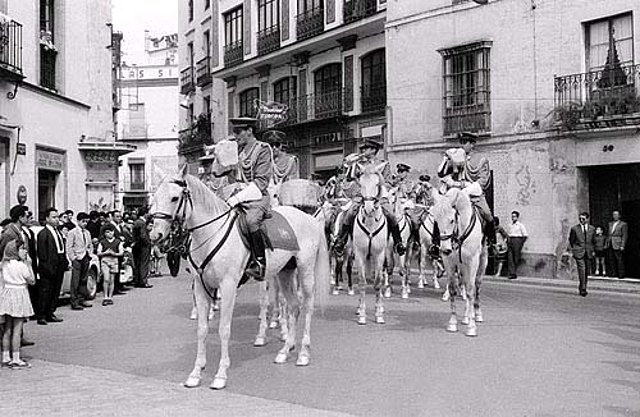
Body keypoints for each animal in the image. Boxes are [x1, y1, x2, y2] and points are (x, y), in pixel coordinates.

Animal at [149, 167, 330, 388]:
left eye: (175, 198)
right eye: (155, 197)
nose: (155, 235)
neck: (210, 233)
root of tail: (309, 218)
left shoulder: (228, 286)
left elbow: (224, 329)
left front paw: (220, 374)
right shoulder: (201, 286)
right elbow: (202, 329)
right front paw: (195, 373)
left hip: (305, 270)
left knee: (307, 307)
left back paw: (303, 353)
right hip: (285, 272)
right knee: (294, 306)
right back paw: (285, 351)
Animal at [432, 187, 488, 336]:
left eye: (452, 220)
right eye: (436, 221)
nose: (445, 249)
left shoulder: (473, 261)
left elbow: (470, 290)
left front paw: (472, 327)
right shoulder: (450, 262)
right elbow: (452, 289)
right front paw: (452, 323)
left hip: (482, 261)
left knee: (476, 286)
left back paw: (476, 314)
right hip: (462, 266)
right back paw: (466, 317)